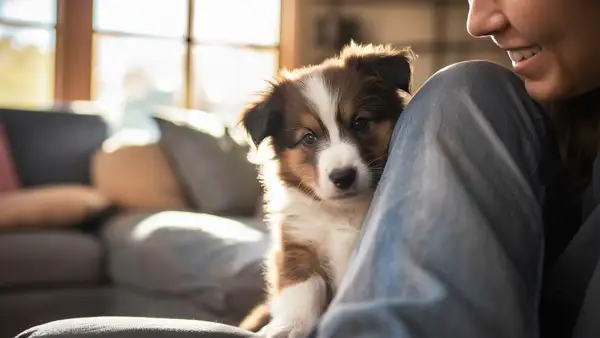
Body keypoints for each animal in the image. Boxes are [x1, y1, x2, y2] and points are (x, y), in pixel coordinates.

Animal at [237, 42, 414, 338]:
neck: (341, 212)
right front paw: (289, 326)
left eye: (359, 123)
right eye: (308, 138)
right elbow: (304, 289)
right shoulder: (297, 244)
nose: (343, 177)